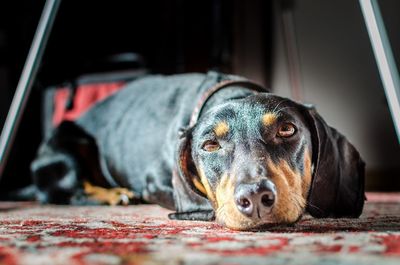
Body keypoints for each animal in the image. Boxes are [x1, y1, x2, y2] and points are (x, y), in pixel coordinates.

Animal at [30, 71, 366, 229]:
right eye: (210, 145)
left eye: (287, 129)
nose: (256, 198)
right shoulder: (155, 182)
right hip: (67, 146)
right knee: (64, 193)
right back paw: (116, 195)